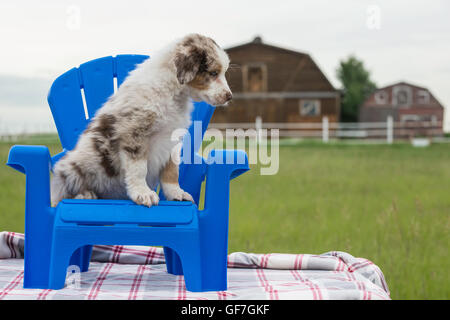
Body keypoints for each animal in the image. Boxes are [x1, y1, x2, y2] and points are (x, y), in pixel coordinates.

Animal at [50, 33, 232, 208]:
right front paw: (143, 193)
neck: (173, 93)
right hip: (75, 166)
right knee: (61, 195)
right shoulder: (135, 132)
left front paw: (176, 193)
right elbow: (139, 169)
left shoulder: (172, 138)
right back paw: (85, 195)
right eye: (213, 73)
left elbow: (172, 170)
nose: (229, 96)